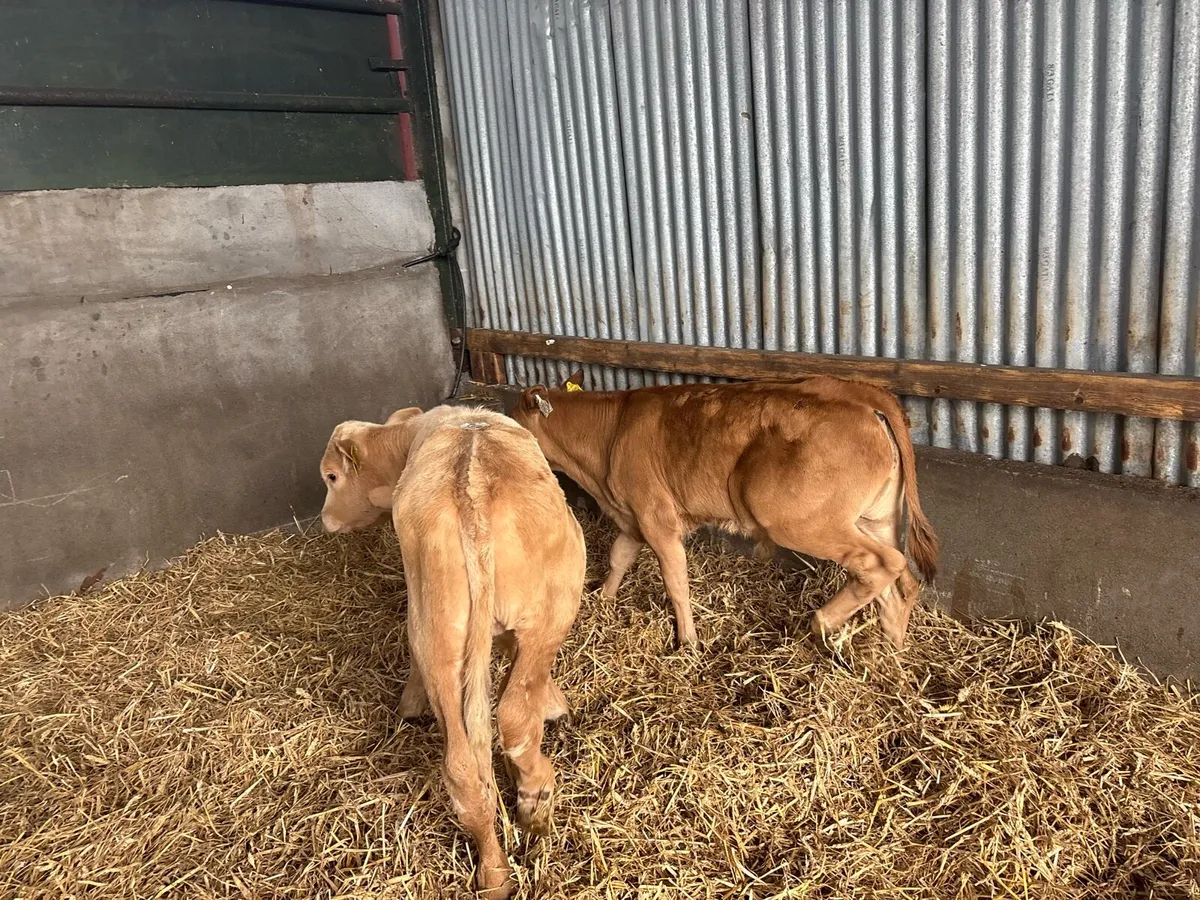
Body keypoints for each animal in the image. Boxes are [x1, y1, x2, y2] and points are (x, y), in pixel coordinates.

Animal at [320, 404, 586, 898]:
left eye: (331, 476)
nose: (326, 519)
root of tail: (472, 491)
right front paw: (554, 704)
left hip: (438, 637)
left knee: (464, 765)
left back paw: (495, 874)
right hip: (549, 613)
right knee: (514, 717)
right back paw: (536, 806)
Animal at [510, 373, 938, 652]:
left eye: (511, 422)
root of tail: (858, 393)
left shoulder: (657, 518)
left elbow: (676, 581)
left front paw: (687, 642)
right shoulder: (632, 517)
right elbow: (618, 558)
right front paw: (603, 599)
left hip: (800, 520)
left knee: (883, 563)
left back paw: (822, 622)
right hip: (876, 518)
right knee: (900, 582)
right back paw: (891, 648)